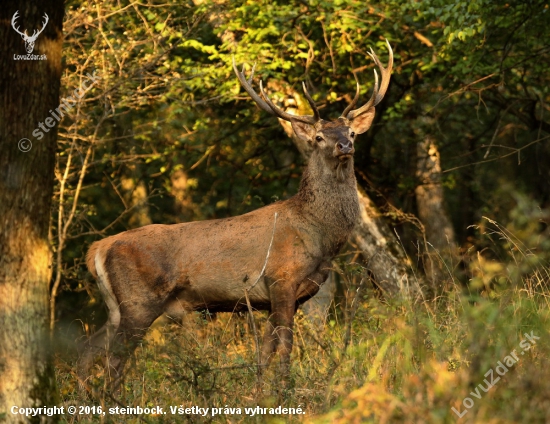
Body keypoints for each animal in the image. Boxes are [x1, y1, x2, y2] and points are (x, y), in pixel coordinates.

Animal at [77, 40, 394, 390]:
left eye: (351, 132)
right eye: (318, 137)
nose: (344, 146)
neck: (319, 235)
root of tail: (98, 248)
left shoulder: (281, 297)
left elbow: (266, 350)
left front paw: (259, 391)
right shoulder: (281, 279)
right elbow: (285, 345)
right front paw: (283, 390)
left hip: (116, 307)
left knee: (87, 353)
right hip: (139, 301)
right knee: (114, 360)